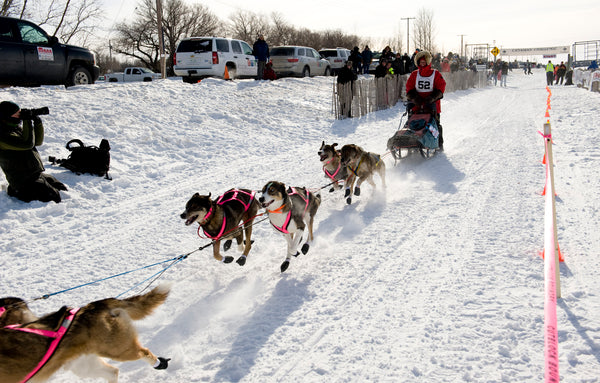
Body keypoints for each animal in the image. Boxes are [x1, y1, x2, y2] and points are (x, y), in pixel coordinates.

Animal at [1, 286, 171, 383]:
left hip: (118, 350)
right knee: (112, 372)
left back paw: (159, 363)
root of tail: (92, 306)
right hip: (83, 364)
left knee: (144, 352)